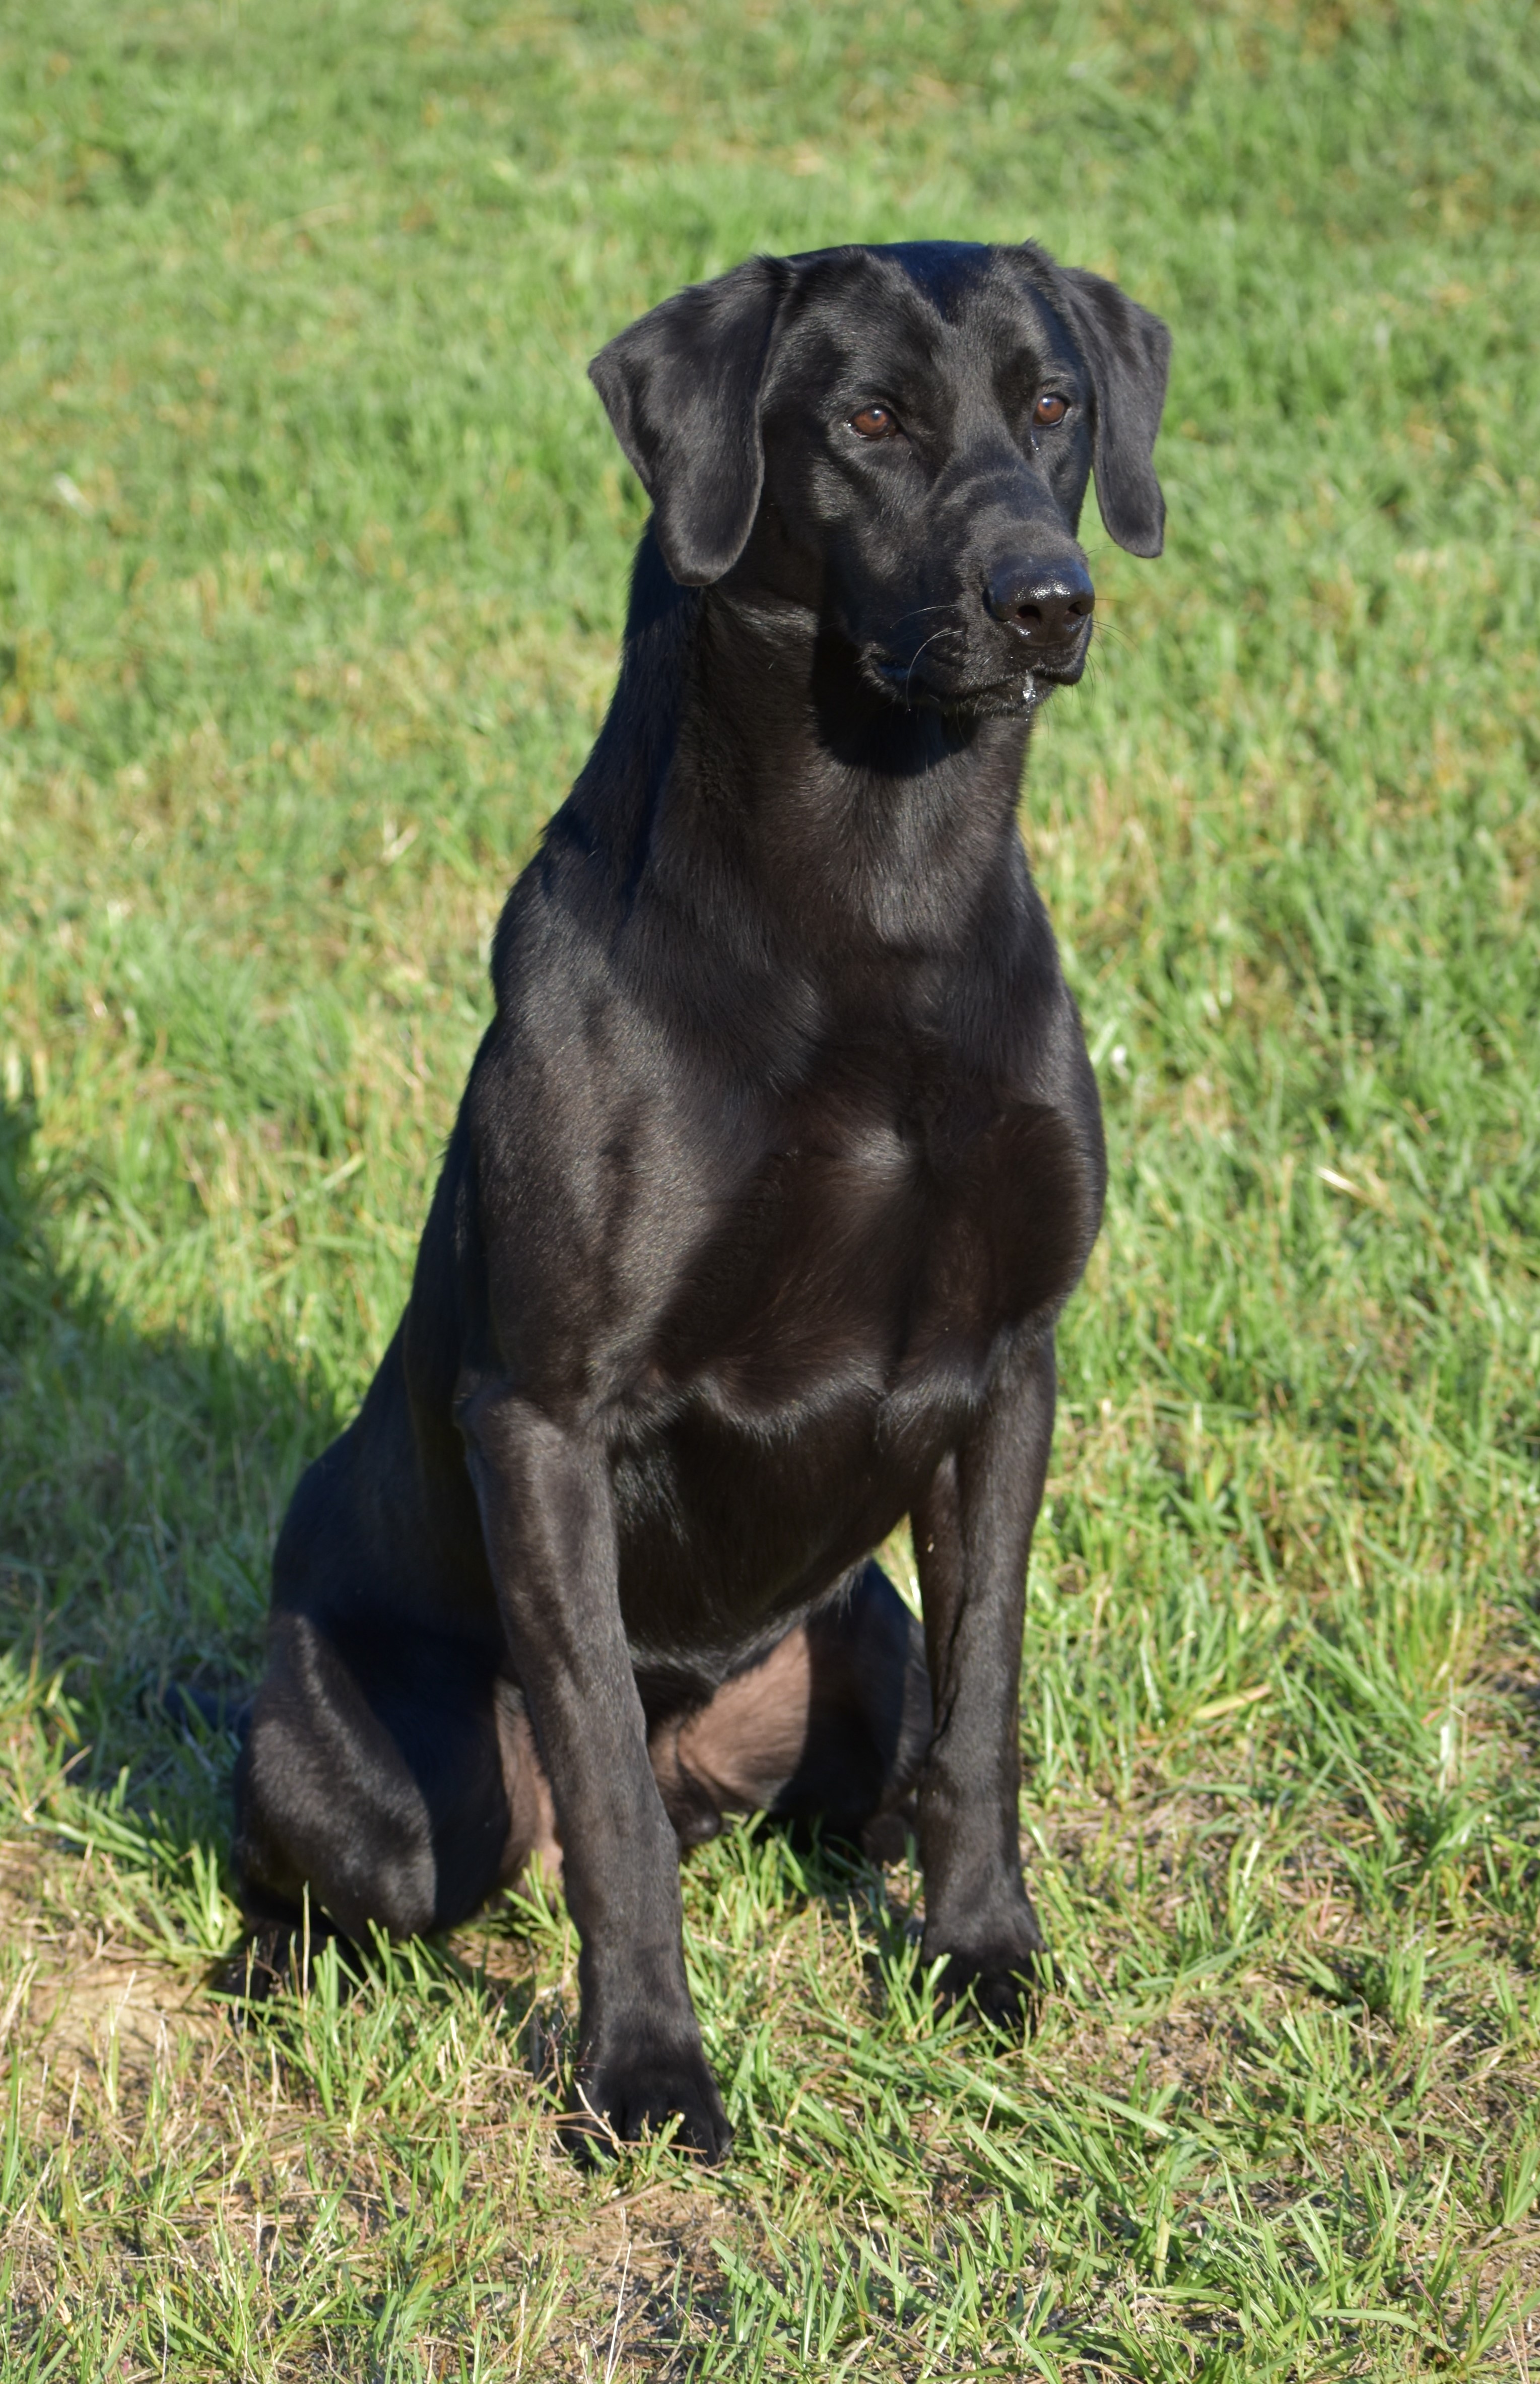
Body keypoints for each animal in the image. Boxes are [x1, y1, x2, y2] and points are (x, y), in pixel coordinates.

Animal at [232, 242, 1173, 2164]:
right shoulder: (542, 1415)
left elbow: (987, 1703)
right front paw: (648, 2071)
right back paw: (283, 1968)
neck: (877, 894)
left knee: (871, 1763)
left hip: (855, 1636)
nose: (1047, 600)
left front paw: (979, 1956)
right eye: (867, 419)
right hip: (360, 1769)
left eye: (1051, 403)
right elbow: (597, 1790)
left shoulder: (1008, 1367)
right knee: (384, 1857)